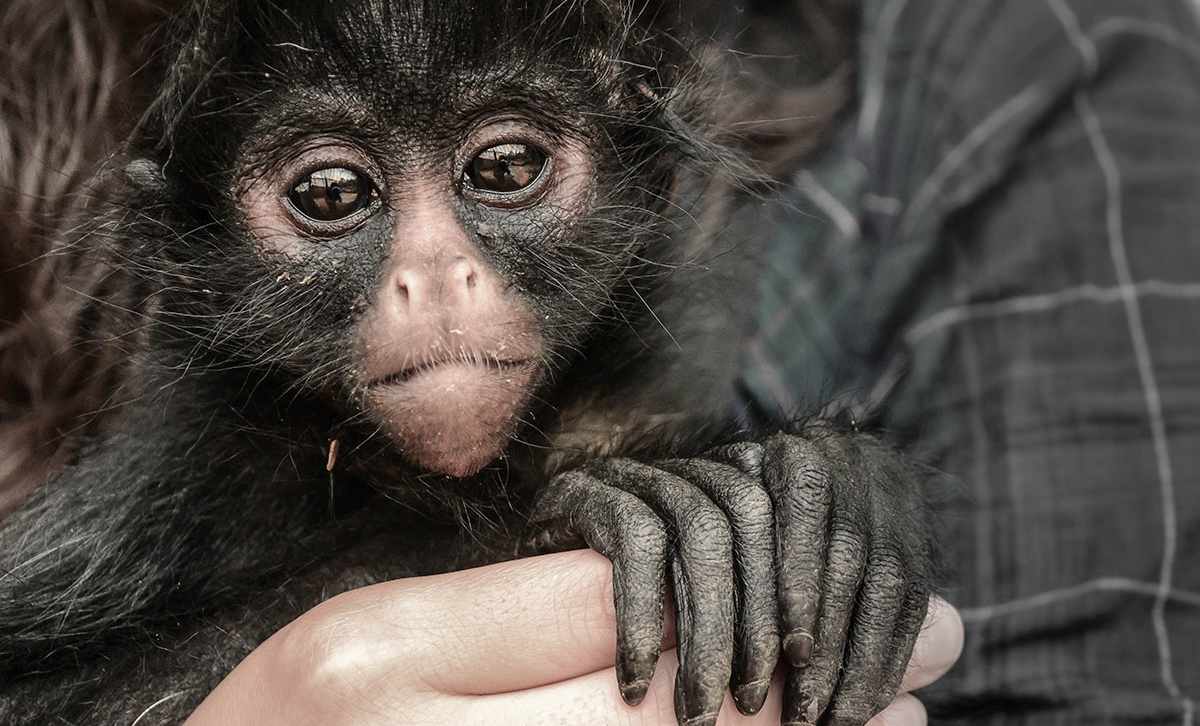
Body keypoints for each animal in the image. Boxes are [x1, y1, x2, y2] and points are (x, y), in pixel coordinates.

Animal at [0, 1, 935, 724]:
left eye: (504, 166)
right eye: (332, 193)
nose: (438, 273)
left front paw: (829, 481)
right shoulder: (192, 469)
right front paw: (608, 506)